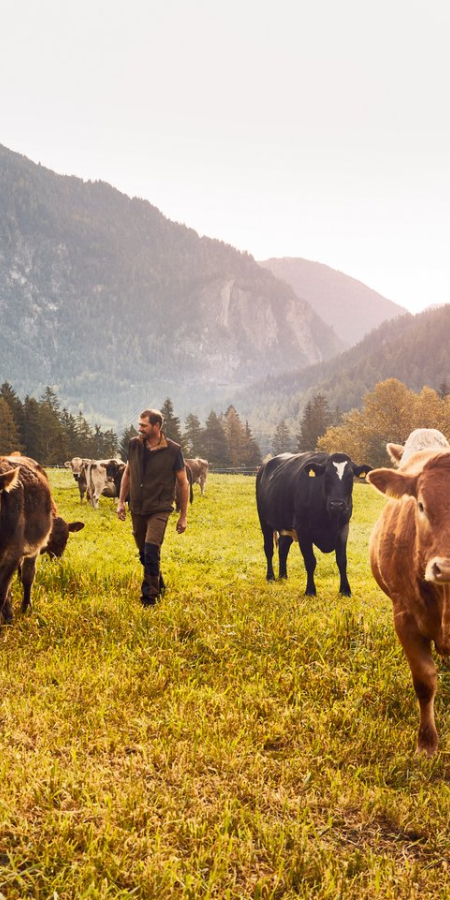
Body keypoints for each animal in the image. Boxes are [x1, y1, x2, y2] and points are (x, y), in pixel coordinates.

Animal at [255, 450, 370, 596]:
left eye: (350, 476)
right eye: (326, 475)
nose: (337, 504)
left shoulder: (343, 528)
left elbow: (342, 560)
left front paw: (345, 590)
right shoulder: (303, 530)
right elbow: (310, 561)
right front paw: (310, 590)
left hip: (286, 527)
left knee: (283, 548)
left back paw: (283, 576)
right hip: (264, 521)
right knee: (269, 549)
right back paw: (270, 577)